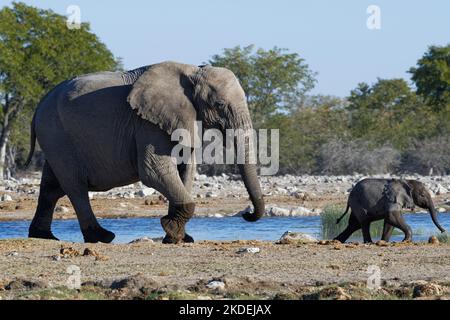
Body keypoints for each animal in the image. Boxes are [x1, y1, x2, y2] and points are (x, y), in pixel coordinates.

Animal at [25, 61, 264, 244]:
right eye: (220, 104)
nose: (247, 214)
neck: (193, 71)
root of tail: (39, 107)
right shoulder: (148, 124)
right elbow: (153, 170)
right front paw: (172, 231)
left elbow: (186, 171)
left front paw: (178, 237)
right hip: (57, 135)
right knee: (75, 187)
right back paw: (102, 237)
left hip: (55, 139)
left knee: (51, 187)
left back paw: (43, 236)